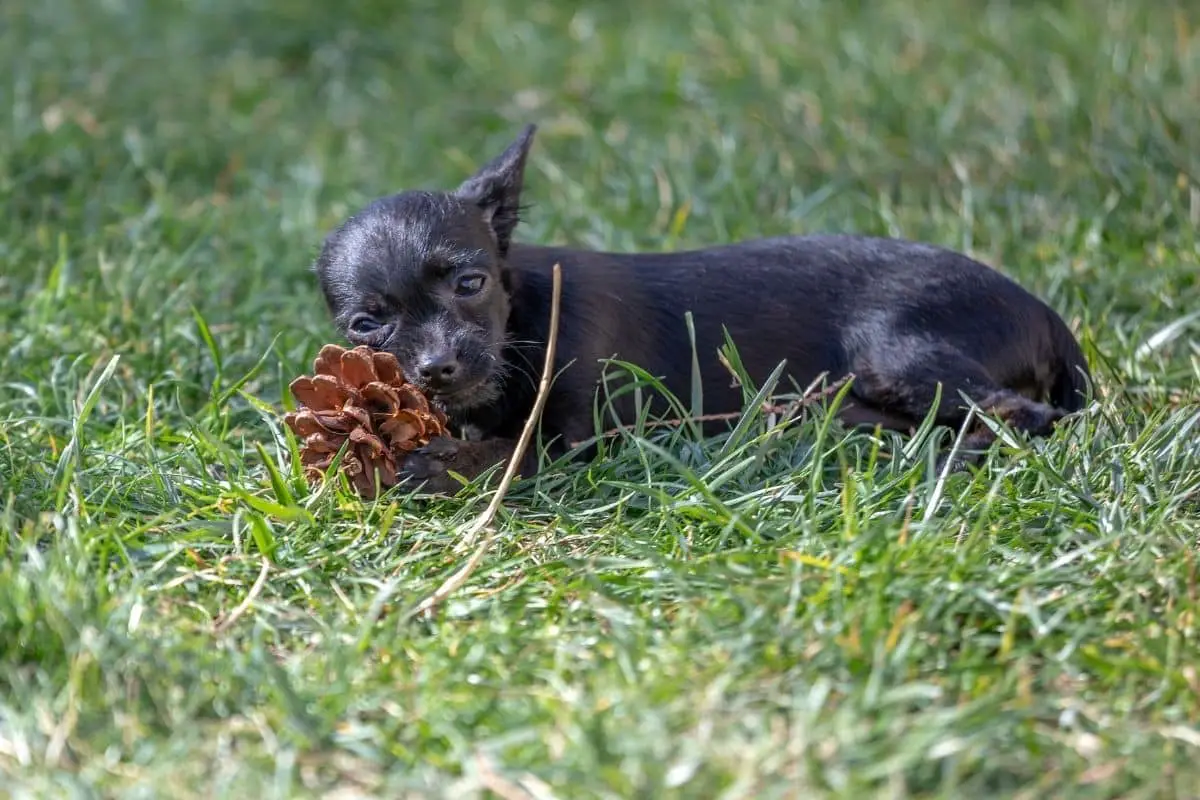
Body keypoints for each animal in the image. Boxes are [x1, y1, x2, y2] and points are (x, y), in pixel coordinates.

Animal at [314, 123, 1094, 494]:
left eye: (470, 284)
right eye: (368, 325)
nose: (437, 366)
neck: (525, 319)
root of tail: (1047, 315)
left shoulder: (582, 441)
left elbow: (508, 452)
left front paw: (445, 465)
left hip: (893, 351)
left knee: (1025, 418)